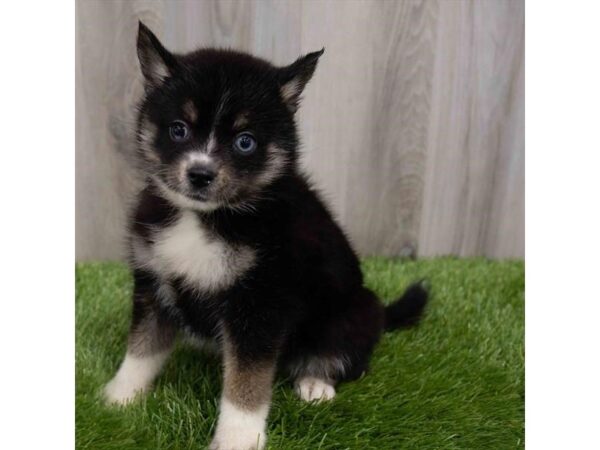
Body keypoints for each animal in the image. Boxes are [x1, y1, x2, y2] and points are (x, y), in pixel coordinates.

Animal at [105, 22, 428, 450]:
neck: (206, 217)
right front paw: (118, 398)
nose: (200, 174)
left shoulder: (261, 302)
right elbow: (141, 348)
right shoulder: (153, 281)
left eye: (246, 141)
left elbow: (248, 380)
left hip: (356, 309)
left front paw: (238, 438)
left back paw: (316, 382)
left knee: (345, 355)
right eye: (178, 129)